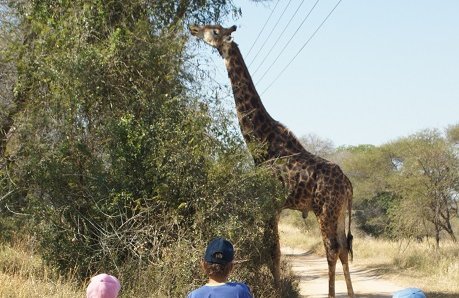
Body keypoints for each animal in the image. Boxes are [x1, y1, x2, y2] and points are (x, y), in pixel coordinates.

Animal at [190, 24, 356, 296]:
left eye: (214, 31)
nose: (193, 28)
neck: (262, 143)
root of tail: (349, 185)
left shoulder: (270, 204)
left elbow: (273, 252)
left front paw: (278, 290)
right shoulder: (273, 207)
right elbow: (271, 251)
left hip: (325, 209)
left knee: (331, 249)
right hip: (340, 211)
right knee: (343, 248)